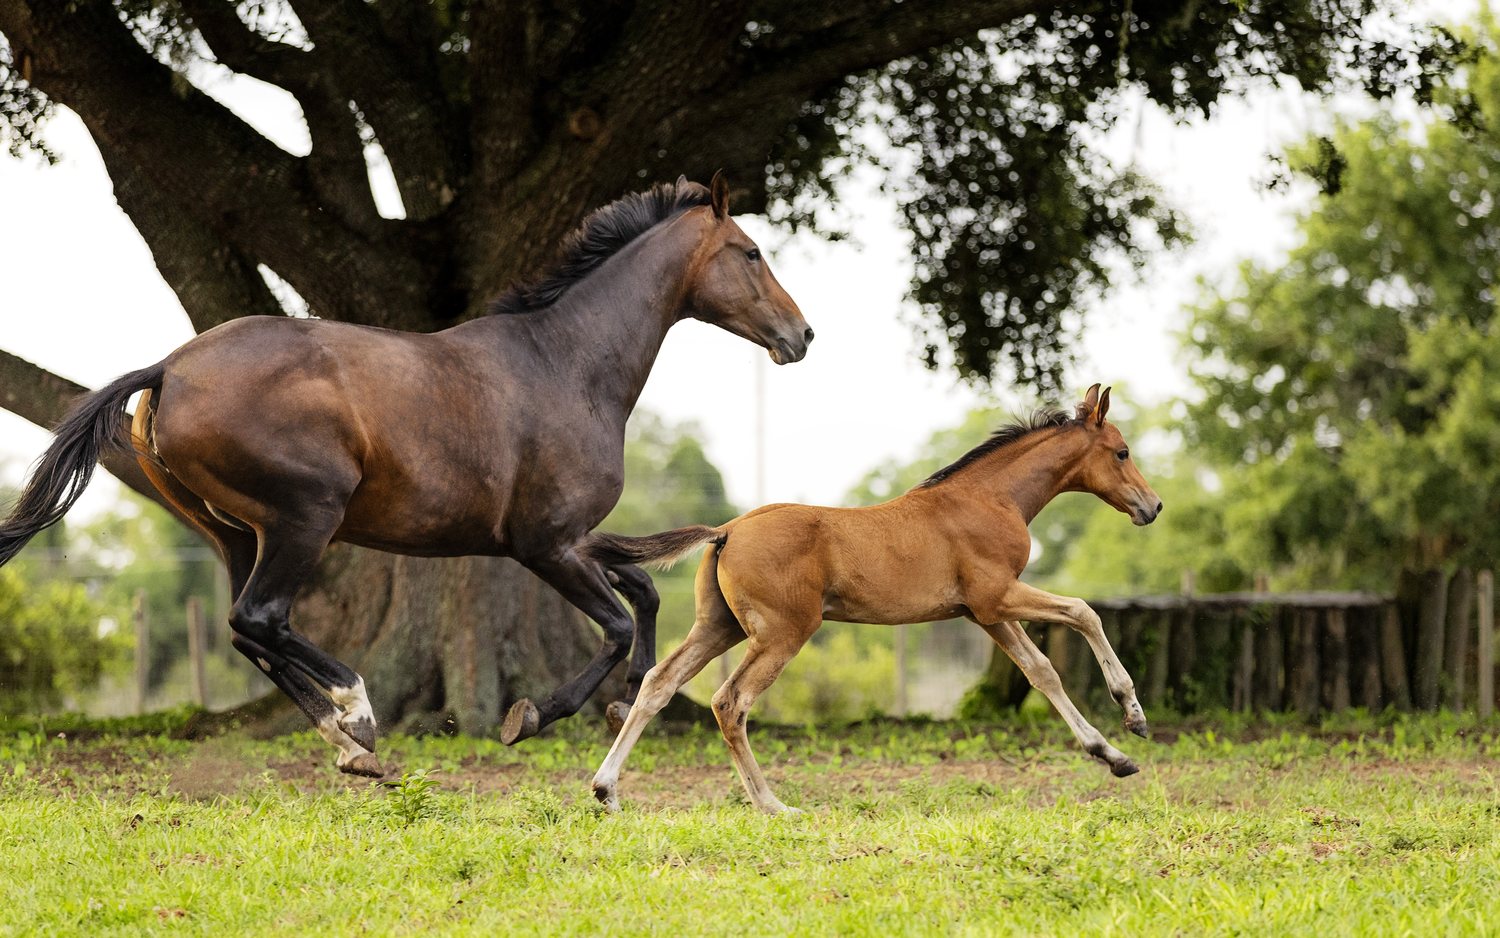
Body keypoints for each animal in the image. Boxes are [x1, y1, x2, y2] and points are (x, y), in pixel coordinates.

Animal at [0, 174, 813, 777]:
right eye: (749, 251)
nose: (801, 334)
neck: (564, 364)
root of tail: (169, 368)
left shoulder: (575, 537)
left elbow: (642, 590)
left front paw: (620, 703)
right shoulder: (544, 543)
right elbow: (615, 622)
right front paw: (529, 717)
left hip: (233, 532)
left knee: (245, 630)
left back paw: (351, 747)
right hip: (305, 520)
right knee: (261, 618)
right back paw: (356, 711)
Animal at [587, 384, 1161, 813]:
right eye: (1122, 452)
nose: (1152, 506)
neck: (989, 498)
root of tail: (726, 529)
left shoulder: (985, 613)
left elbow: (1042, 672)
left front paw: (1112, 756)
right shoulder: (998, 597)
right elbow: (1083, 612)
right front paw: (1132, 715)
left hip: (719, 626)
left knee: (659, 682)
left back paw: (606, 790)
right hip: (782, 633)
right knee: (730, 702)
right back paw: (773, 804)